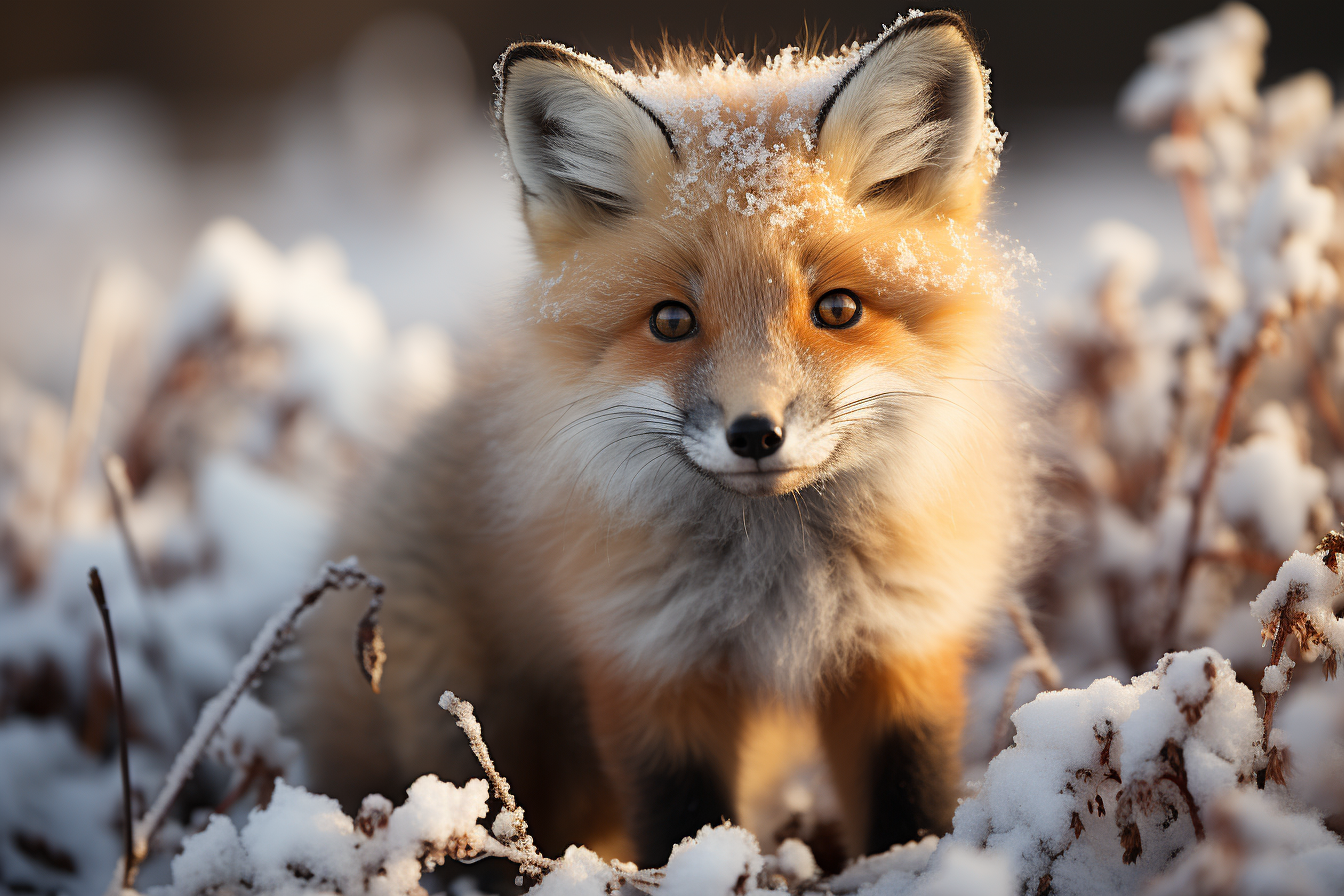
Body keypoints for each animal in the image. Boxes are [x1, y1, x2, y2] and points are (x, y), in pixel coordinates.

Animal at [294, 7, 1026, 870]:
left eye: (838, 309)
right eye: (672, 321)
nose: (756, 433)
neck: (777, 586)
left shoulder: (902, 645)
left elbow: (908, 807)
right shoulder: (648, 659)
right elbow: (682, 821)